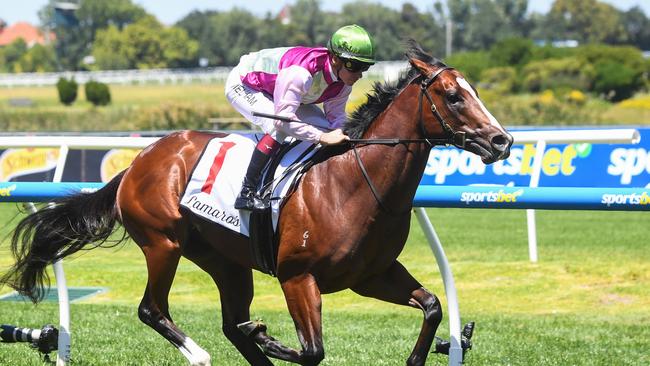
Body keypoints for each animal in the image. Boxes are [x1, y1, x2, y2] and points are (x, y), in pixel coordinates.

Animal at [0, 41, 512, 364]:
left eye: (474, 92)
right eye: (453, 96)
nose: (502, 141)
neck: (353, 184)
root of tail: (139, 161)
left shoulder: (371, 275)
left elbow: (433, 306)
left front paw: (417, 355)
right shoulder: (297, 277)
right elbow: (312, 351)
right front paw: (268, 337)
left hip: (225, 260)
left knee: (230, 322)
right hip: (163, 244)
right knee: (153, 309)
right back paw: (202, 353)